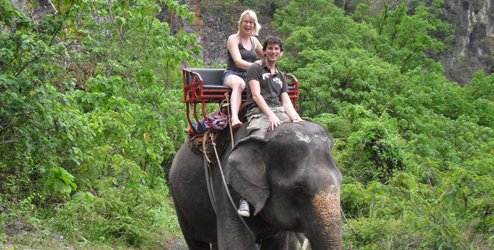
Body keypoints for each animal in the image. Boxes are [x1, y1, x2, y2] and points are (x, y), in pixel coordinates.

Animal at [168, 120, 342, 248]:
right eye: (298, 189)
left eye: (340, 180)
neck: (265, 136)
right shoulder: (227, 189)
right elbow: (234, 245)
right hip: (178, 199)